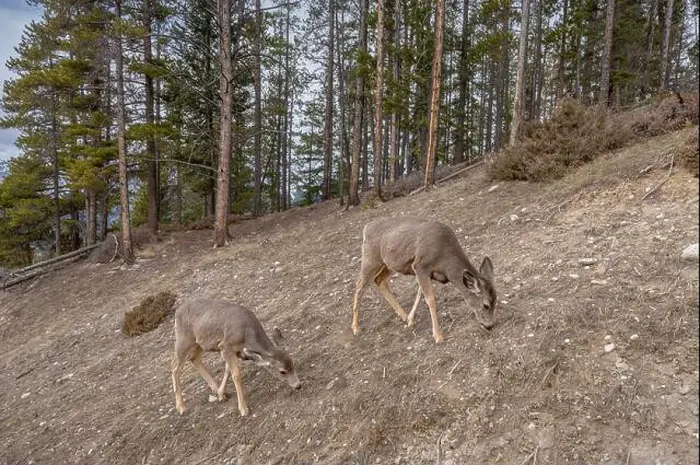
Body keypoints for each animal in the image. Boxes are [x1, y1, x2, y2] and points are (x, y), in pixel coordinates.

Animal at [171, 298, 301, 417]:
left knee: (194, 359)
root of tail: (177, 312)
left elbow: (228, 371)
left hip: (199, 343)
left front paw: (220, 394)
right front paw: (243, 409)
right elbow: (236, 375)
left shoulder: (233, 351)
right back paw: (181, 407)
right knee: (175, 368)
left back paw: (215, 390)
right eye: (282, 371)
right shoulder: (226, 346)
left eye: (293, 364)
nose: (298, 386)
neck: (246, 335)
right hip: (183, 340)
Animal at [351, 217, 497, 343]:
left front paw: (410, 320)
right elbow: (430, 298)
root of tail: (366, 228)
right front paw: (438, 336)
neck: (444, 261)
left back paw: (402, 315)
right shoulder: (420, 265)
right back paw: (356, 328)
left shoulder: (425, 272)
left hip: (388, 264)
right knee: (359, 285)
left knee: (378, 280)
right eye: (486, 305)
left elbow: (420, 293)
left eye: (495, 301)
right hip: (370, 259)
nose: (490, 326)